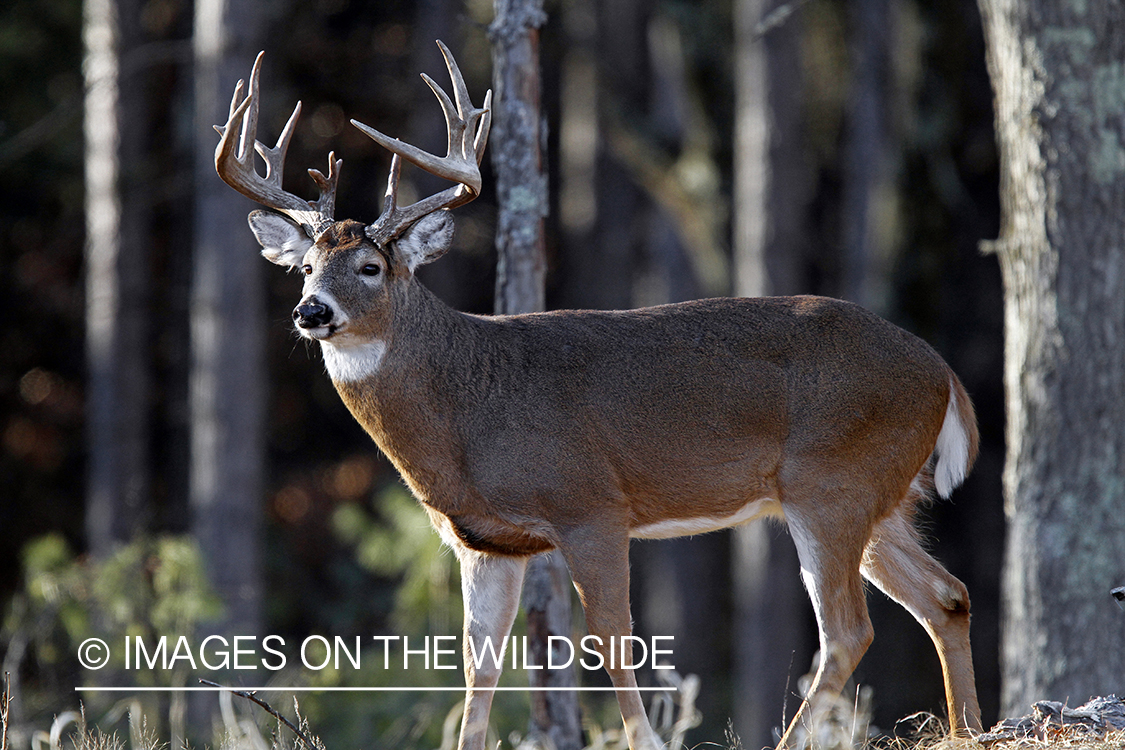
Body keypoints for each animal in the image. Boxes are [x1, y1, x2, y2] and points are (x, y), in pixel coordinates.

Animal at [214, 44, 981, 750]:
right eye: (305, 267)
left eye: (371, 267)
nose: (311, 312)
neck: (466, 404)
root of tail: (942, 373)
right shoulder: (484, 541)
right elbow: (479, 667)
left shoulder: (593, 506)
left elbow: (613, 643)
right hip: (876, 496)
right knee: (946, 596)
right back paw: (968, 729)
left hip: (830, 482)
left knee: (849, 630)